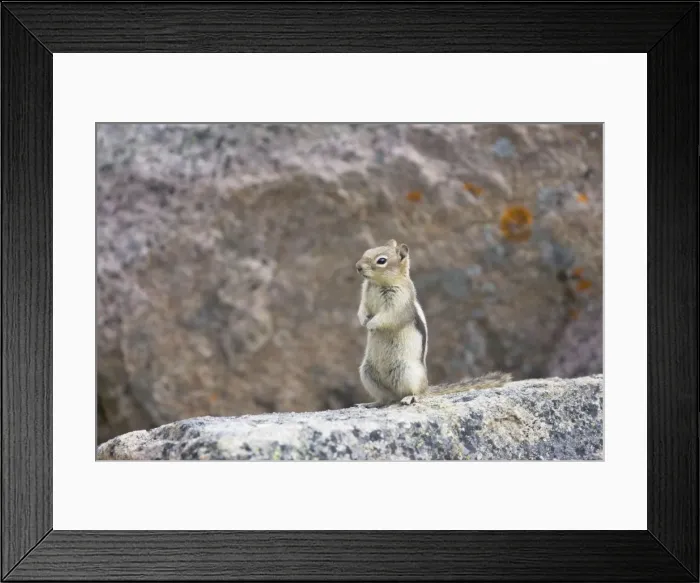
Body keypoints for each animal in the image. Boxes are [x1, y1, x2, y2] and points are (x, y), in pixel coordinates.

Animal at [354, 239, 512, 408]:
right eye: (366, 252)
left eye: (381, 260)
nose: (358, 267)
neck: (378, 283)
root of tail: (427, 387)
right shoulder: (364, 296)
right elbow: (362, 308)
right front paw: (363, 320)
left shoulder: (398, 304)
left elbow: (387, 316)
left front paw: (371, 325)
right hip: (367, 372)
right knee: (386, 398)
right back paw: (371, 403)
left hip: (407, 371)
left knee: (415, 393)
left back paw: (409, 398)